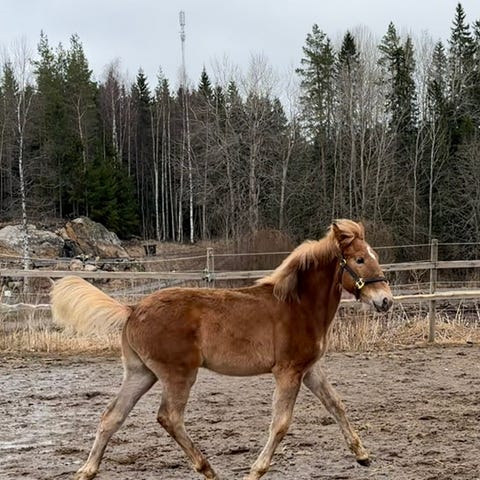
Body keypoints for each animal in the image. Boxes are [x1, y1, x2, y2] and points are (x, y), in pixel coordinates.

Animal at [51, 219, 393, 480]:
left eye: (373, 255)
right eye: (360, 259)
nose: (386, 300)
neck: (298, 305)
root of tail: (132, 309)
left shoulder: (309, 369)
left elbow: (336, 404)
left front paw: (362, 455)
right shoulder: (289, 371)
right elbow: (281, 422)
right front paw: (256, 470)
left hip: (140, 373)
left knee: (112, 415)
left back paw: (87, 470)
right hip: (179, 375)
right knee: (169, 417)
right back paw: (208, 469)